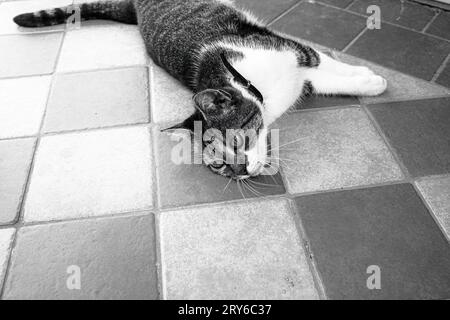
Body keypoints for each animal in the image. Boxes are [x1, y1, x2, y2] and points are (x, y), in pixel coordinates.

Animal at [14, 0, 386, 180]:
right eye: (219, 165)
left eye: (237, 141)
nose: (239, 172)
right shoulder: (297, 70)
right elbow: (327, 78)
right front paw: (366, 80)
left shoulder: (293, 51)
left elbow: (330, 65)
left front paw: (370, 79)